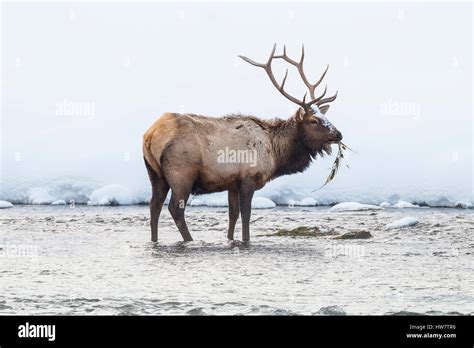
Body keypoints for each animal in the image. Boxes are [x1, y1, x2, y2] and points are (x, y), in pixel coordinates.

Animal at [143, 44, 342, 242]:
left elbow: (233, 214)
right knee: (174, 208)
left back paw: (154, 240)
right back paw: (189, 240)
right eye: (313, 121)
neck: (275, 153)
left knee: (154, 206)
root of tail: (150, 135)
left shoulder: (232, 183)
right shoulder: (248, 178)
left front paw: (230, 239)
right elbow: (246, 214)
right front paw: (246, 240)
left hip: (156, 174)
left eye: (325, 116)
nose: (338, 134)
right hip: (181, 174)